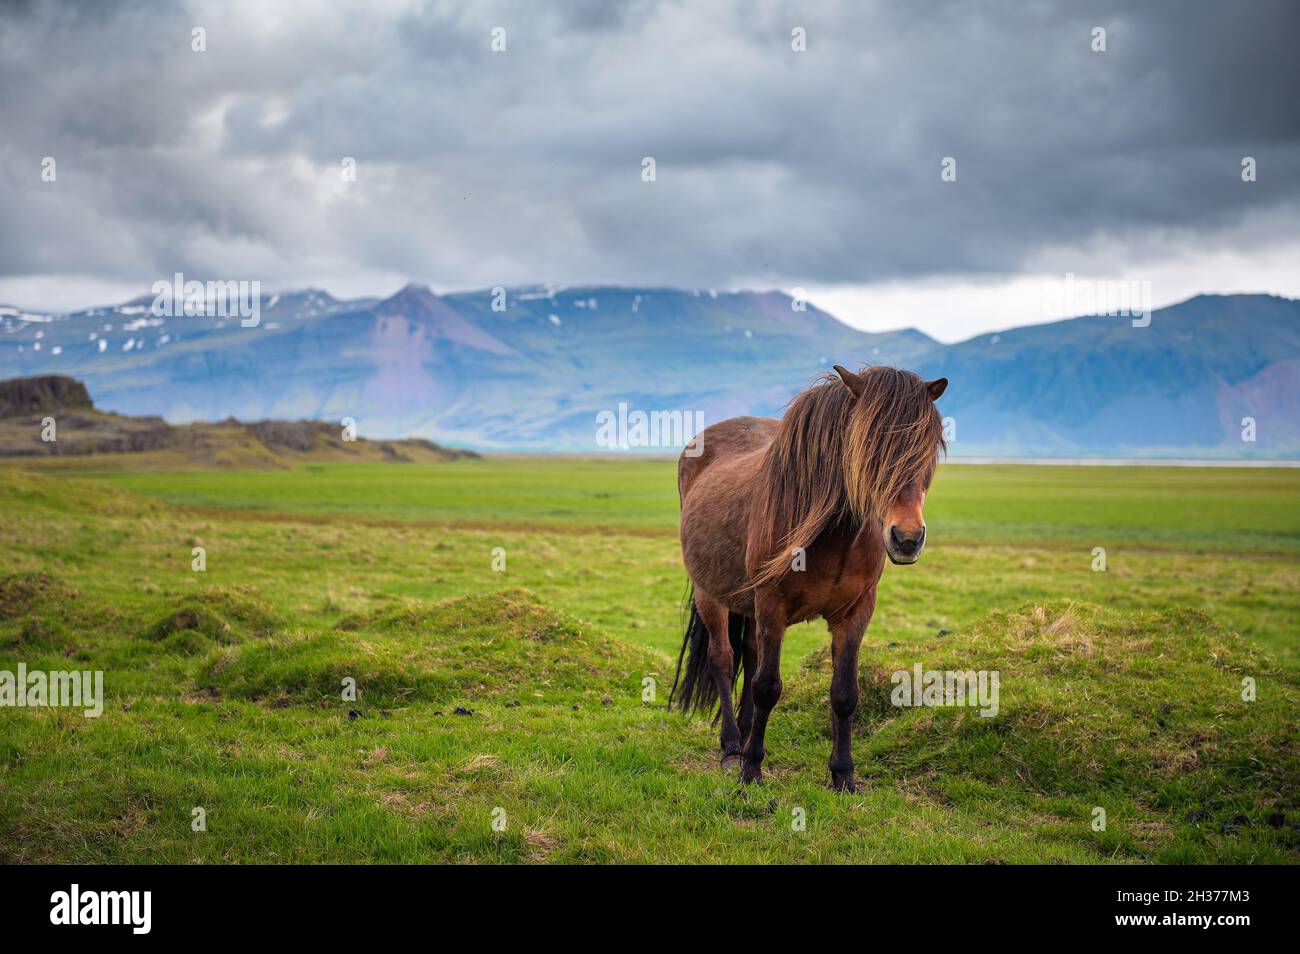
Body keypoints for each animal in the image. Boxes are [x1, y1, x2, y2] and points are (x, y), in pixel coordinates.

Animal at [670, 363, 946, 790]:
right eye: (866, 445)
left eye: (927, 446)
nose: (907, 538)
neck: (833, 535)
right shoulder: (772, 604)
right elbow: (767, 687)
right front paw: (752, 771)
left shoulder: (855, 612)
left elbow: (844, 693)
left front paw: (843, 775)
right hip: (710, 594)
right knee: (723, 660)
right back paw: (733, 749)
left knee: (750, 655)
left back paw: (746, 735)